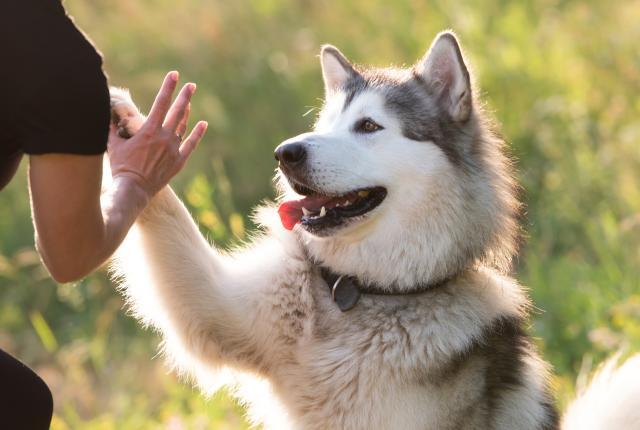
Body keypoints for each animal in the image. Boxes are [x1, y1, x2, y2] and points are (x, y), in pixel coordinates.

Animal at [110, 31, 640, 430]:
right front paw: (131, 130)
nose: (286, 153)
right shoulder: (215, 307)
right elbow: (167, 216)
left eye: (368, 126)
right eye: (326, 124)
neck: (364, 293)